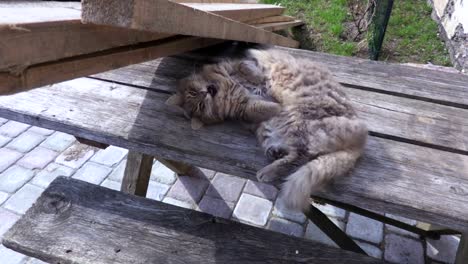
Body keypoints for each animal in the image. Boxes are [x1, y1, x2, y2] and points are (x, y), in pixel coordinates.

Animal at [166, 48, 368, 211]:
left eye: (196, 93)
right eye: (200, 104)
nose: (206, 92)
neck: (227, 87)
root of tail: (360, 141)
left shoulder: (239, 67)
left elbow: (247, 68)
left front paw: (261, 83)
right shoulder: (244, 107)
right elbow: (258, 106)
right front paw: (272, 101)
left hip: (300, 125)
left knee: (300, 156)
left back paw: (268, 168)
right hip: (277, 129)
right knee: (297, 156)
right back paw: (271, 162)